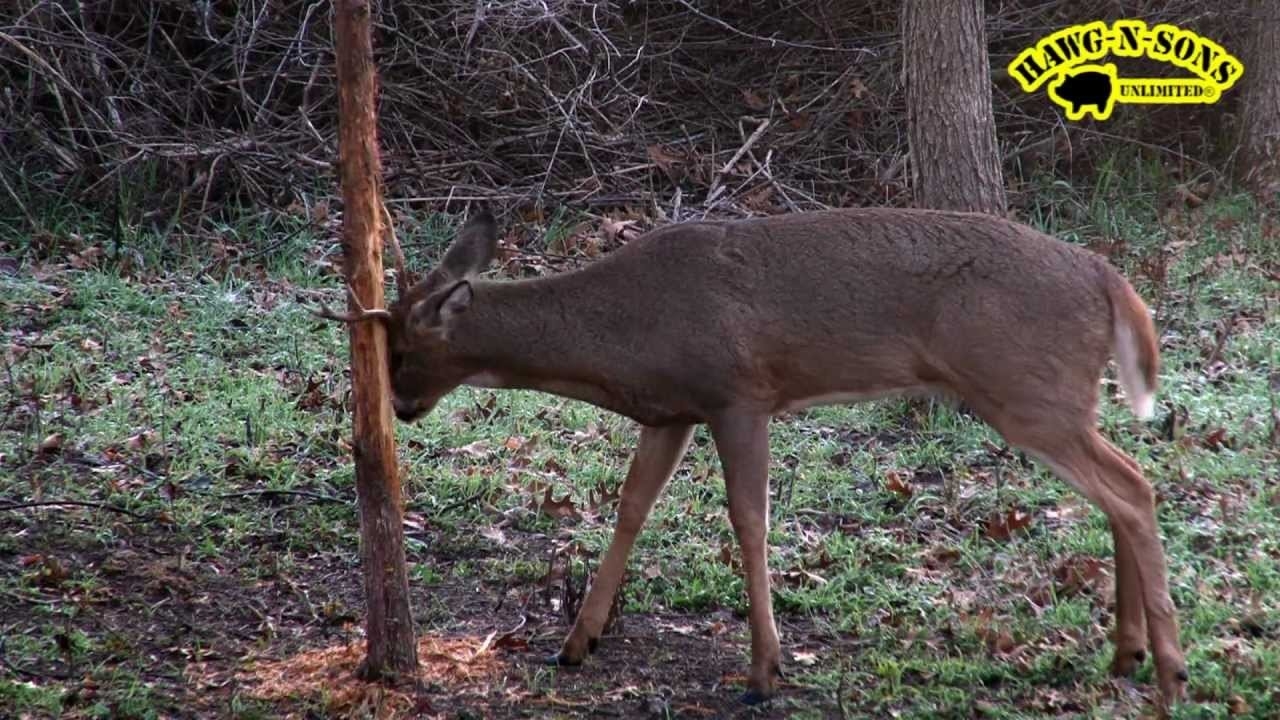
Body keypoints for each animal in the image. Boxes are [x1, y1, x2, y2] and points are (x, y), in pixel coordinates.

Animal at [322, 206, 1187, 707]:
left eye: (403, 351)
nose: (400, 407)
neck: (619, 339)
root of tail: (1111, 279)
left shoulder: (738, 393)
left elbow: (749, 520)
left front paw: (765, 671)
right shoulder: (672, 409)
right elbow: (631, 510)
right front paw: (576, 643)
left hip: (1024, 387)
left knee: (1134, 488)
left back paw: (1169, 666)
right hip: (1054, 395)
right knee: (1120, 491)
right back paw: (1126, 652)